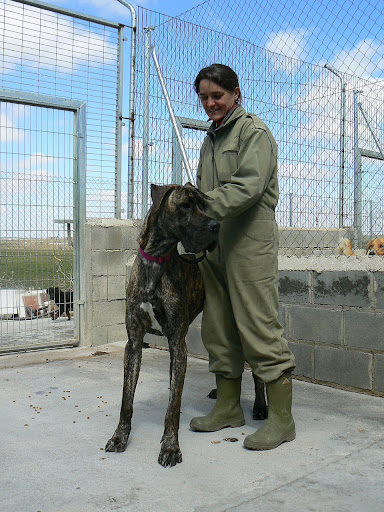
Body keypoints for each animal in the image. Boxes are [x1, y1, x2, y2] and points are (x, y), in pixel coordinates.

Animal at [105, 184, 266, 468]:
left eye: (204, 206)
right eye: (185, 206)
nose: (215, 226)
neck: (156, 260)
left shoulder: (177, 344)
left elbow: (173, 406)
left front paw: (170, 447)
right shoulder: (134, 343)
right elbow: (127, 399)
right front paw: (119, 437)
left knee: (256, 369)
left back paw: (260, 407)